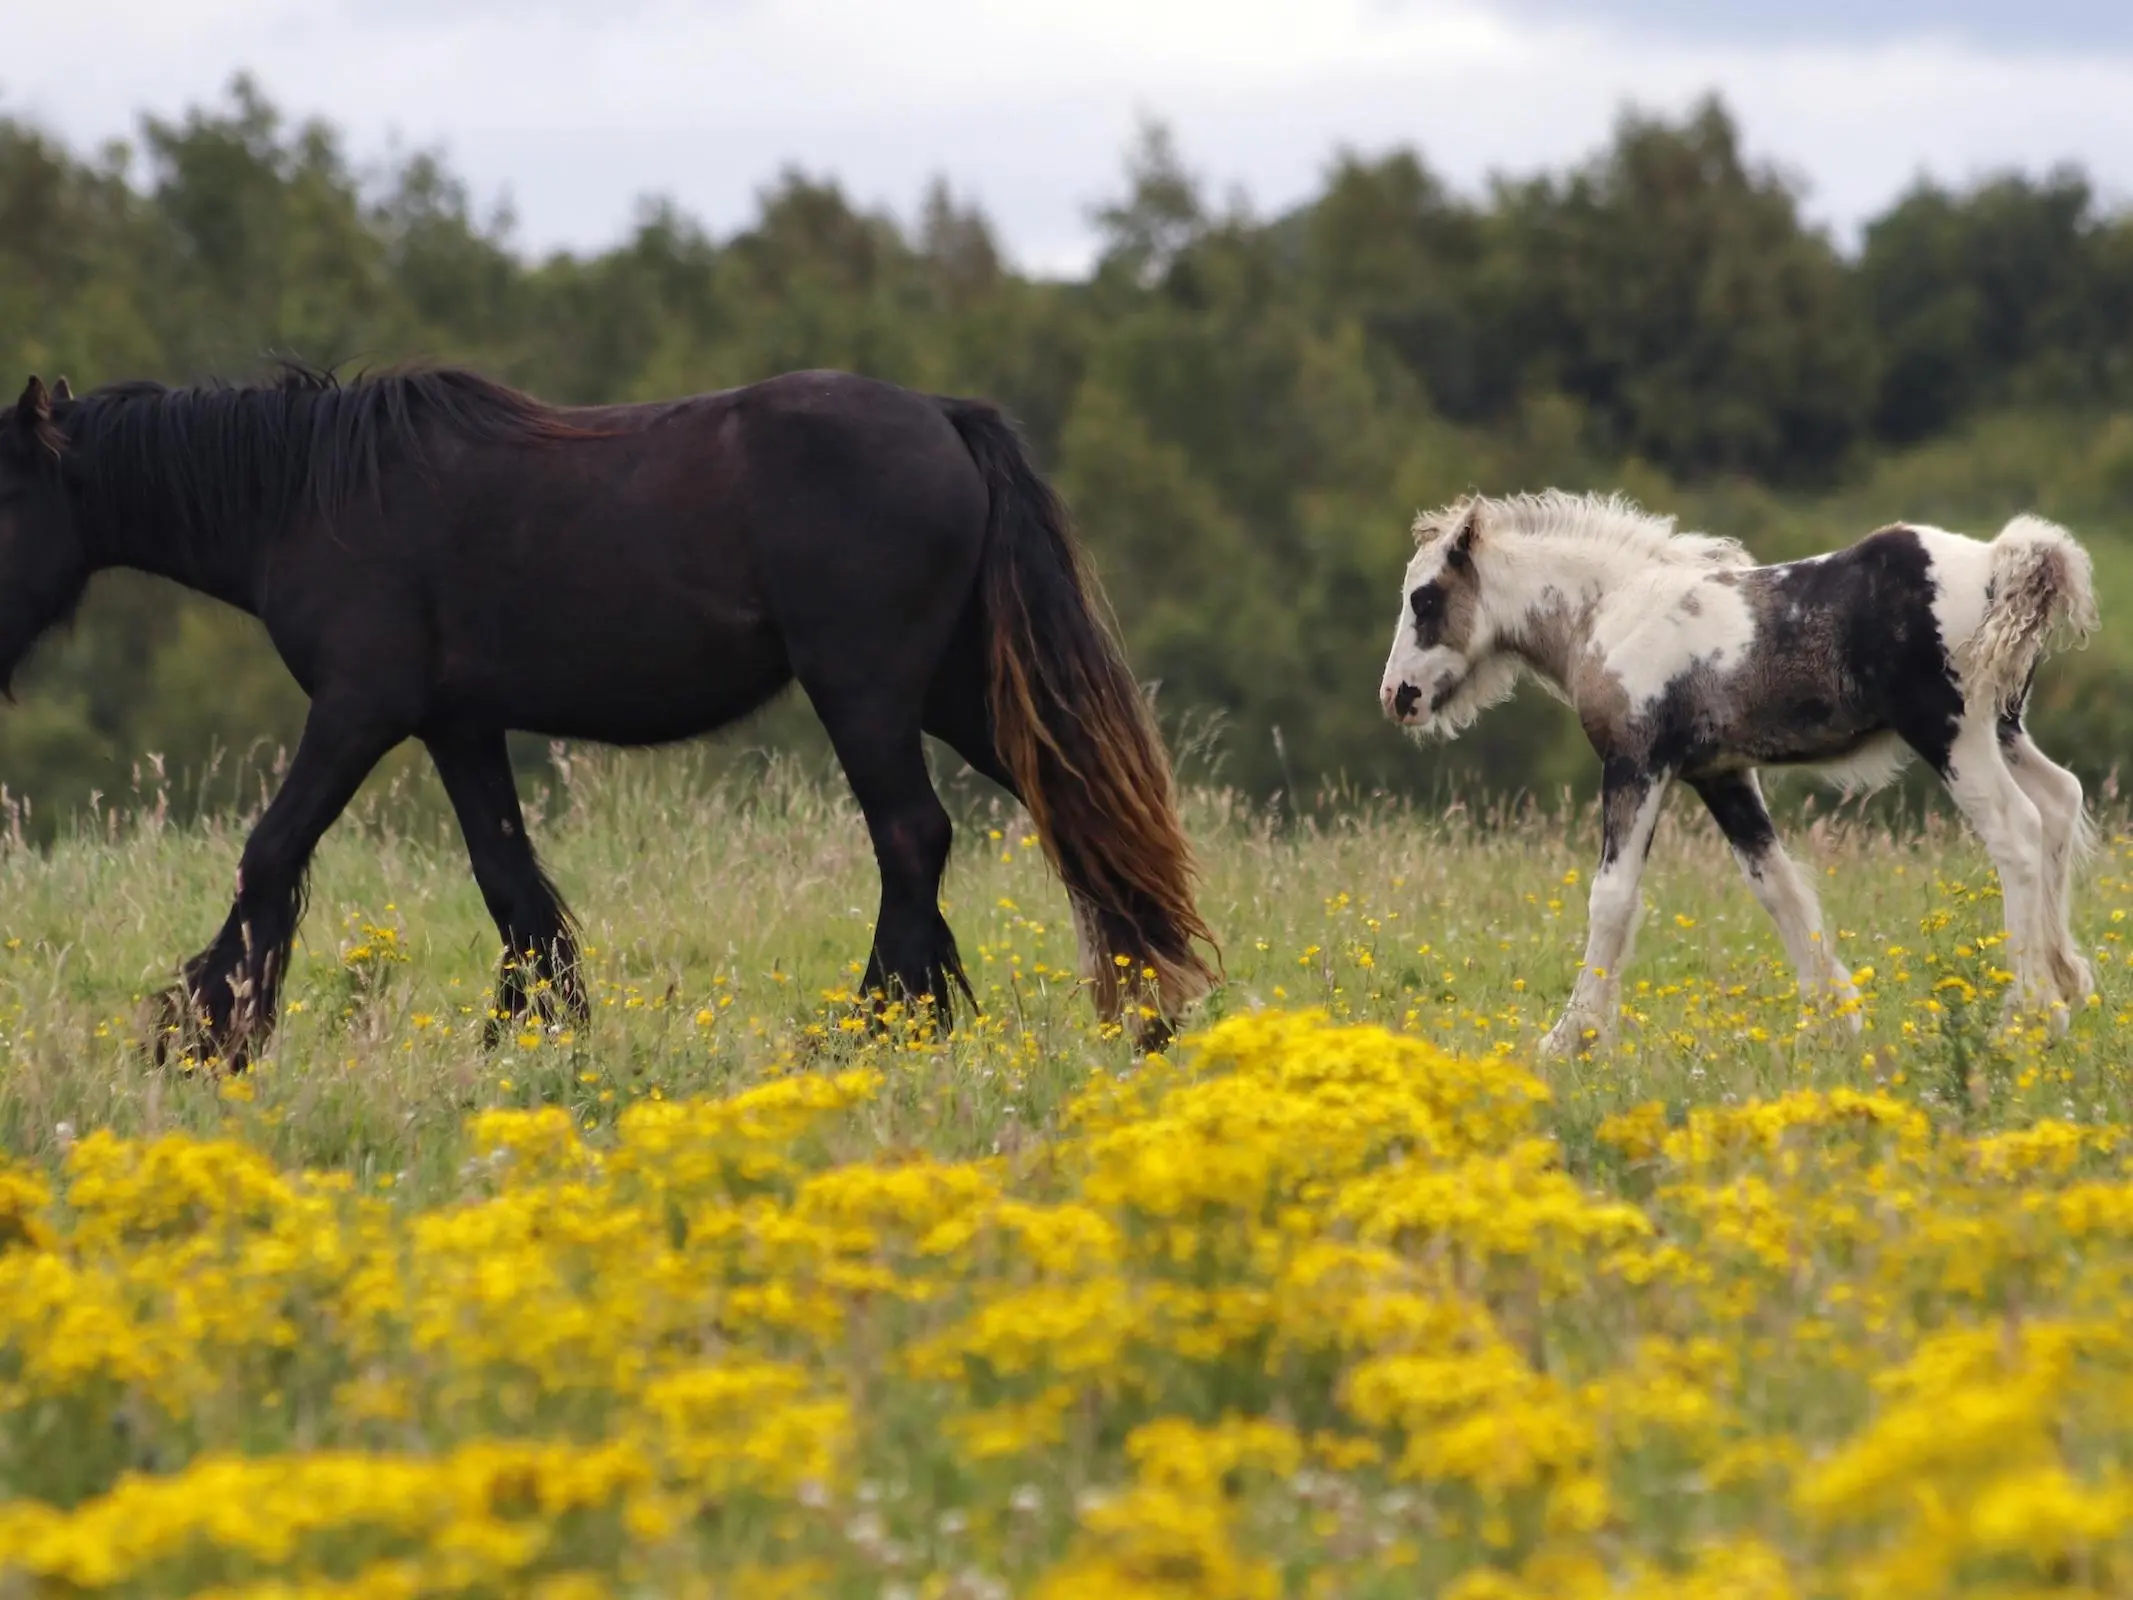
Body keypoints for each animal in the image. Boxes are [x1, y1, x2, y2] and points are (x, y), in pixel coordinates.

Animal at [0, 362, 1220, 1066]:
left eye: (5, 490)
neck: (308, 494)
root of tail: (946, 419)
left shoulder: (358, 710)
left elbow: (269, 851)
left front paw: (204, 1033)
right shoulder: (456, 724)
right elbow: (508, 879)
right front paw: (532, 1028)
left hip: (867, 688)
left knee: (915, 837)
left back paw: (874, 1029)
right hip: (954, 691)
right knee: (1079, 813)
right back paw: (1145, 1009)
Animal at [1382, 494, 2098, 1058]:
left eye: (1424, 598)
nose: (1397, 697)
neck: (1613, 611)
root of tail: (2001, 561)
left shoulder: (1637, 763)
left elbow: (1611, 898)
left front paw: (1570, 1038)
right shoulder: (1721, 776)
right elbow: (1777, 887)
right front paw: (1833, 1022)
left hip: (1952, 734)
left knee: (2017, 830)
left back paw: (2028, 1015)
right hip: (2002, 728)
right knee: (2060, 801)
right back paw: (2068, 982)